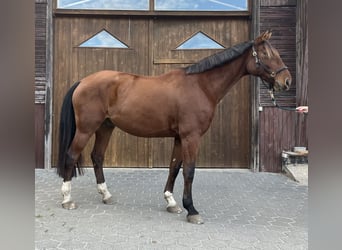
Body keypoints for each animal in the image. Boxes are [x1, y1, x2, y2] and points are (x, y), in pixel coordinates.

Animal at [56, 30, 292, 224]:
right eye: (266, 54)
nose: (286, 81)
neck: (201, 86)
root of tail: (83, 81)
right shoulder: (191, 137)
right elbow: (189, 171)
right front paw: (192, 210)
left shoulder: (180, 137)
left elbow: (174, 167)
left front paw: (171, 202)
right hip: (86, 129)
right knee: (71, 155)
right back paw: (67, 199)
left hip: (105, 127)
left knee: (97, 156)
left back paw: (106, 195)